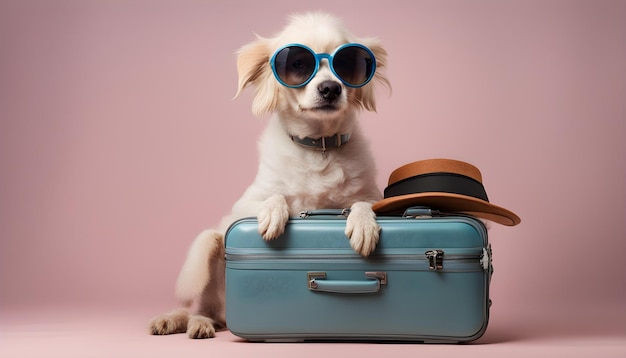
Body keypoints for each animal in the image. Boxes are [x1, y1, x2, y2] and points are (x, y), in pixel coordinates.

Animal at [148, 11, 388, 338]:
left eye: (348, 64)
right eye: (298, 65)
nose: (330, 88)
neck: (319, 147)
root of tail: (225, 317)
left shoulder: (375, 196)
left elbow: (364, 203)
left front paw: (363, 224)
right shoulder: (242, 206)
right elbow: (274, 197)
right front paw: (274, 212)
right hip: (210, 245)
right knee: (199, 307)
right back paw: (197, 322)